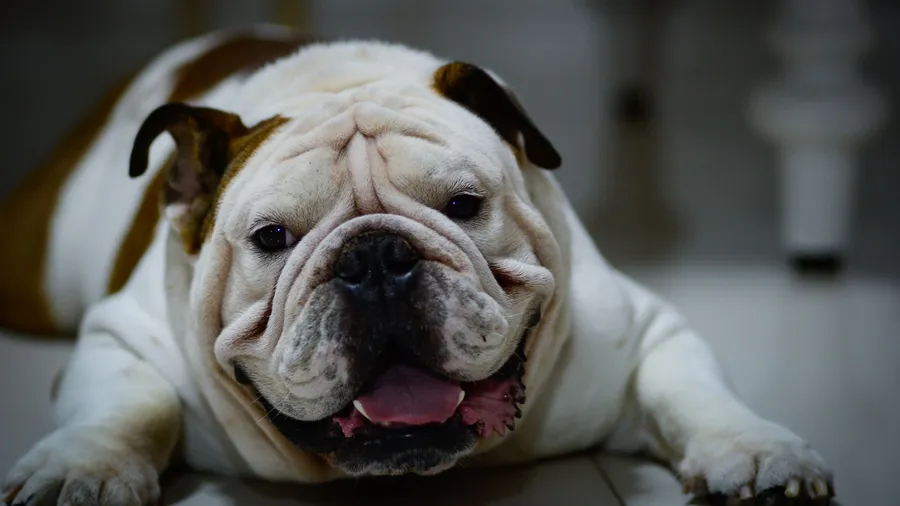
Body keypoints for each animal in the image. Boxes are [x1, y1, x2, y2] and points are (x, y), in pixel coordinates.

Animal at [0, 25, 833, 505]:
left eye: (464, 204)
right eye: (271, 237)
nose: (375, 256)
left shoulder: (647, 330)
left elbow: (691, 390)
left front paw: (756, 452)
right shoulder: (119, 335)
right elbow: (130, 405)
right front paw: (84, 470)